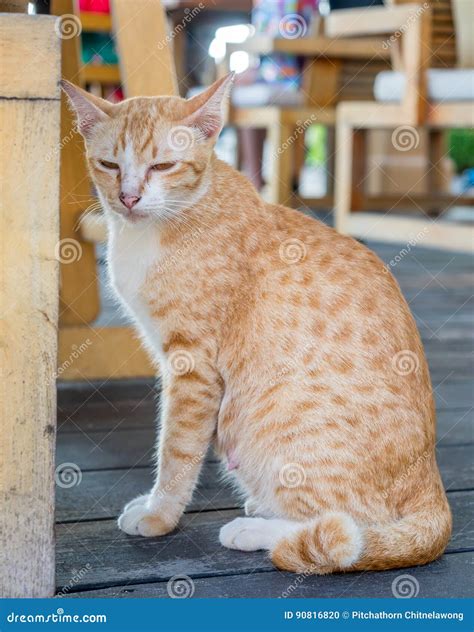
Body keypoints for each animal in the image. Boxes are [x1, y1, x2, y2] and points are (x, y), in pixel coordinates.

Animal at [63, 75, 452, 572]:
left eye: (163, 165)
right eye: (109, 164)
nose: (128, 197)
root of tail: (433, 484)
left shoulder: (192, 365)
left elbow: (176, 450)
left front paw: (159, 513)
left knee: (350, 529)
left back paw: (255, 529)